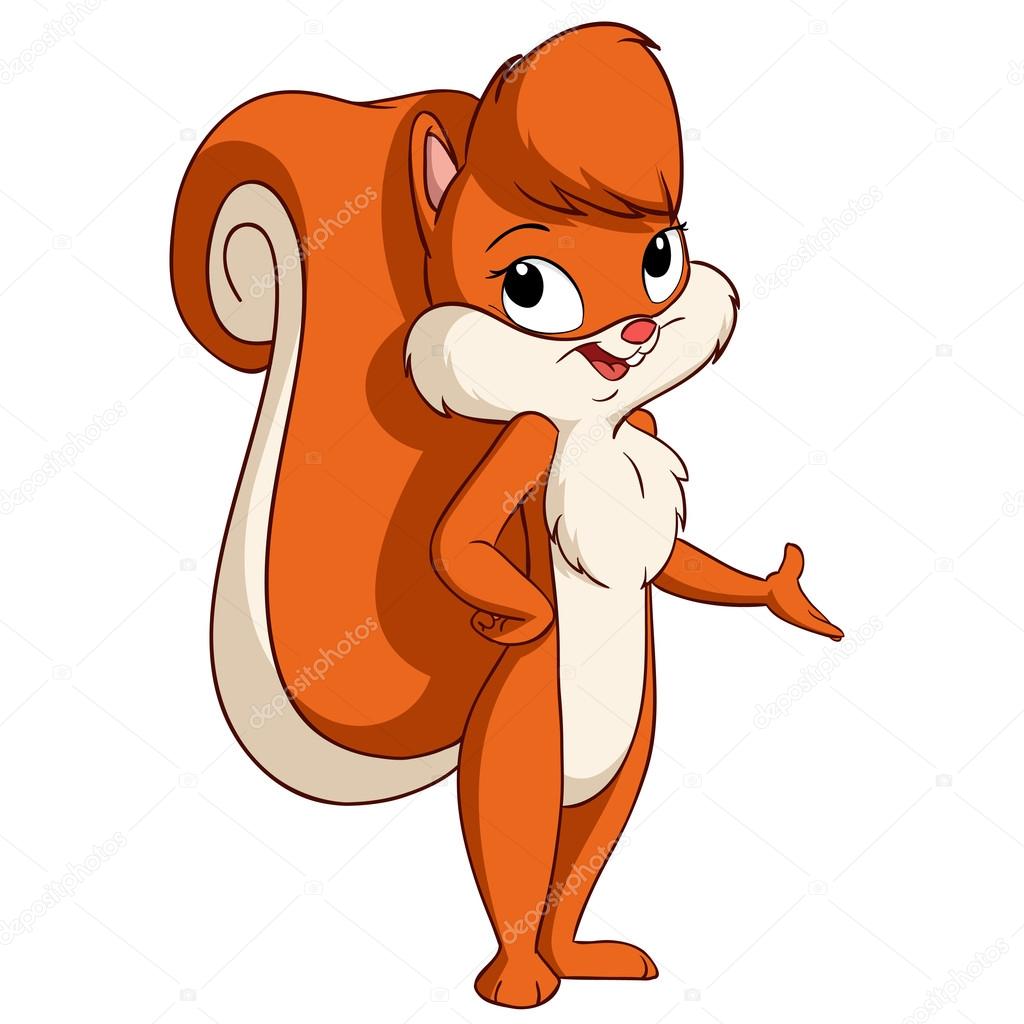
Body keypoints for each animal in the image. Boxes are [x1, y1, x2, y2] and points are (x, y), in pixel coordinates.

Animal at [170, 22, 842, 1009]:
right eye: (529, 285)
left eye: (659, 258)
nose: (637, 332)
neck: (594, 422)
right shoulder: (525, 441)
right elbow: (457, 538)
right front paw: (519, 616)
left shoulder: (639, 426)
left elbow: (674, 558)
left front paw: (778, 591)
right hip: (526, 746)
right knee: (515, 850)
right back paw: (521, 979)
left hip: (627, 762)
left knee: (584, 855)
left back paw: (578, 958)